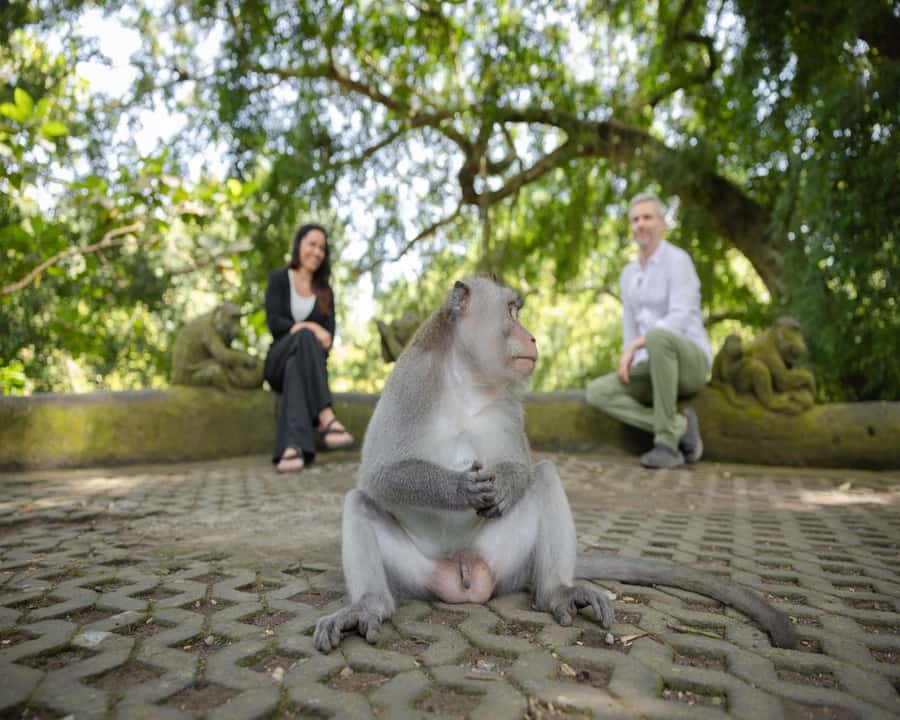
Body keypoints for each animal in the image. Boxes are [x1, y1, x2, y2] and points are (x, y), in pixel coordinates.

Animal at [313, 277, 796, 653]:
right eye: (511, 311)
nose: (531, 337)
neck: (466, 380)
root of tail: (462, 575)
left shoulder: (509, 403)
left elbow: (525, 466)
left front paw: (507, 484)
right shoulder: (410, 380)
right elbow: (377, 475)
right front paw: (459, 489)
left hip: (504, 563)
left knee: (546, 478)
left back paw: (557, 591)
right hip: (417, 575)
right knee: (358, 502)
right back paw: (368, 606)